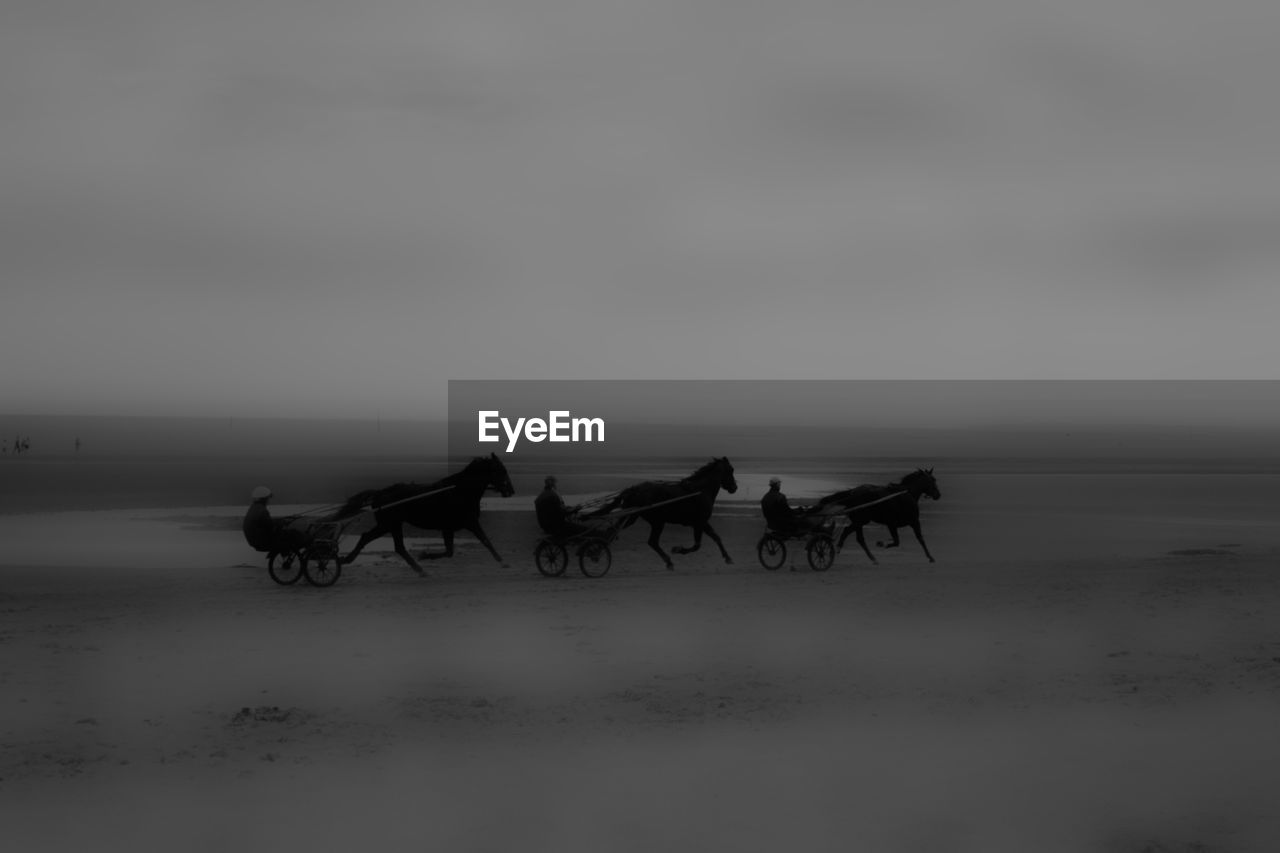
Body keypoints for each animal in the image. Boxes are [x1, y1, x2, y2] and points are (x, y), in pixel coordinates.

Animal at [332, 448, 517, 573]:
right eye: (501, 470)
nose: (511, 491)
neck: (460, 491)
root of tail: (381, 492)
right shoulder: (469, 523)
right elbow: (485, 541)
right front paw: (503, 562)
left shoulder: (450, 528)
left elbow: (452, 551)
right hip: (388, 524)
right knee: (369, 538)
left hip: (392, 525)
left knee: (396, 546)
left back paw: (419, 569)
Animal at [583, 455, 737, 568]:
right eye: (731, 470)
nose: (734, 488)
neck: (700, 490)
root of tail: (633, 489)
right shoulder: (700, 522)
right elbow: (697, 545)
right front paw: (678, 550)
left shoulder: (700, 523)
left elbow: (716, 537)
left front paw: (728, 557)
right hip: (657, 521)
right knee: (651, 541)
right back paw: (668, 561)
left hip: (633, 516)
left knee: (614, 531)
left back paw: (597, 551)